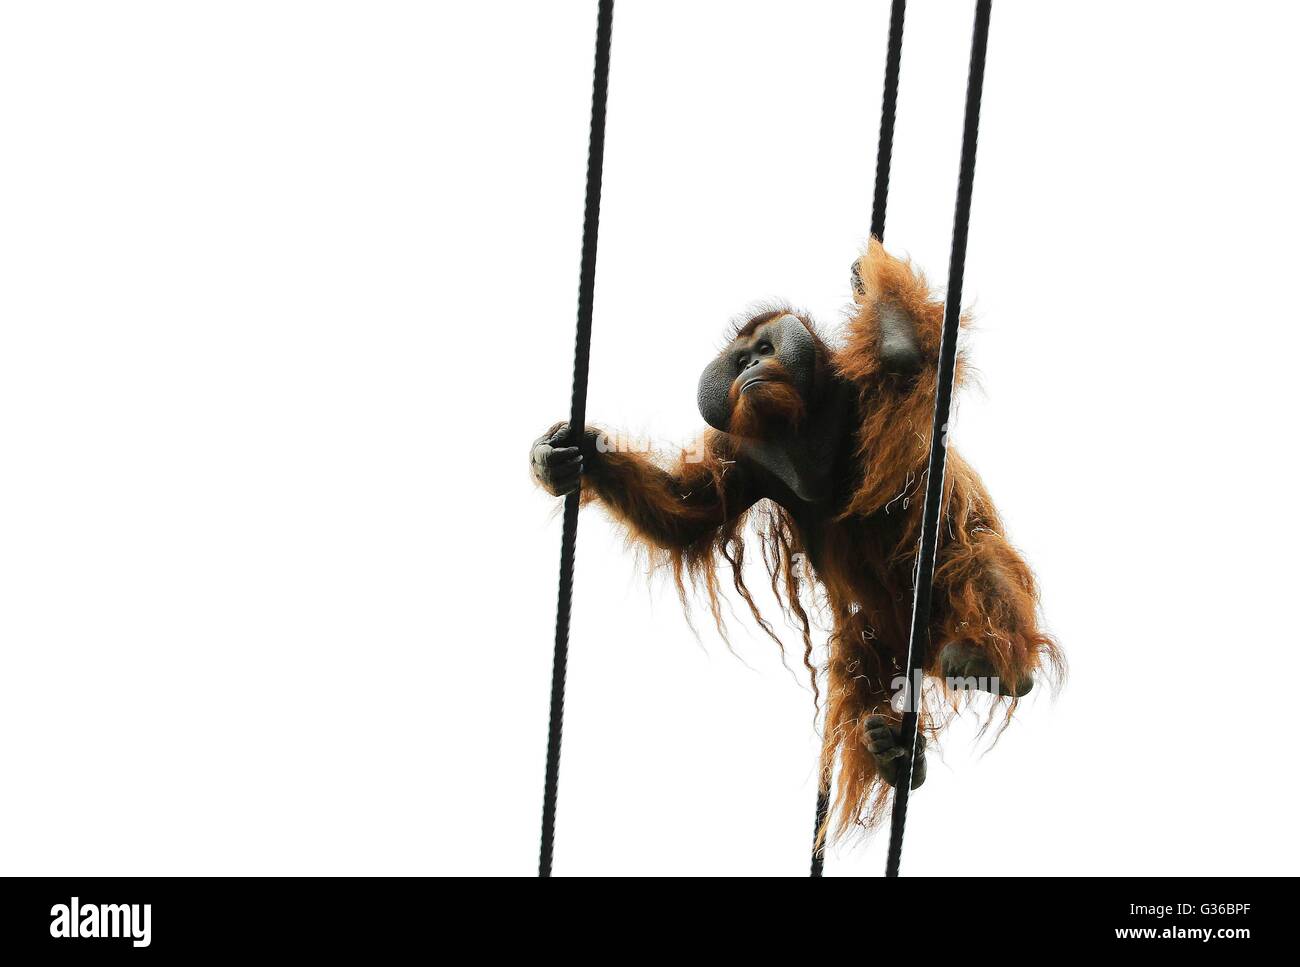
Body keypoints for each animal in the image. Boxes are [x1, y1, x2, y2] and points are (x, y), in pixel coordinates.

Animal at [529, 240, 1063, 838]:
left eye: (766, 348)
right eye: (740, 361)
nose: (754, 366)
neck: (800, 430)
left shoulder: (859, 390)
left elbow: (902, 354)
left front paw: (865, 276)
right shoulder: (742, 457)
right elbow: (689, 512)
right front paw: (571, 454)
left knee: (976, 557)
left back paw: (992, 665)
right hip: (887, 632)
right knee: (862, 656)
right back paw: (895, 751)